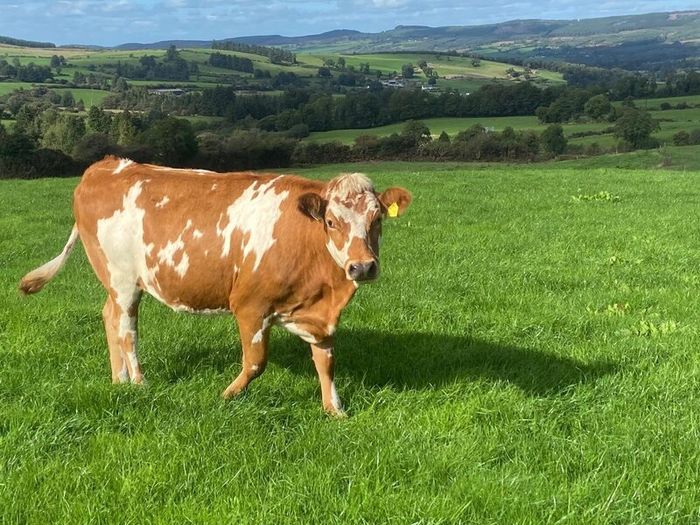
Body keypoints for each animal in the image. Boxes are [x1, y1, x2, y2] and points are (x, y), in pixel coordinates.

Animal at [19, 156, 411, 416]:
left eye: (377, 219)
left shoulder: (319, 314)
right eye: (331, 221)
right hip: (124, 278)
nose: (362, 266)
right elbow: (256, 362)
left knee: (109, 317)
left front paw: (335, 410)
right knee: (127, 330)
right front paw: (227, 396)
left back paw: (119, 381)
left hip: (118, 282)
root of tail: (107, 165)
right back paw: (139, 383)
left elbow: (325, 361)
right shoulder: (250, 306)